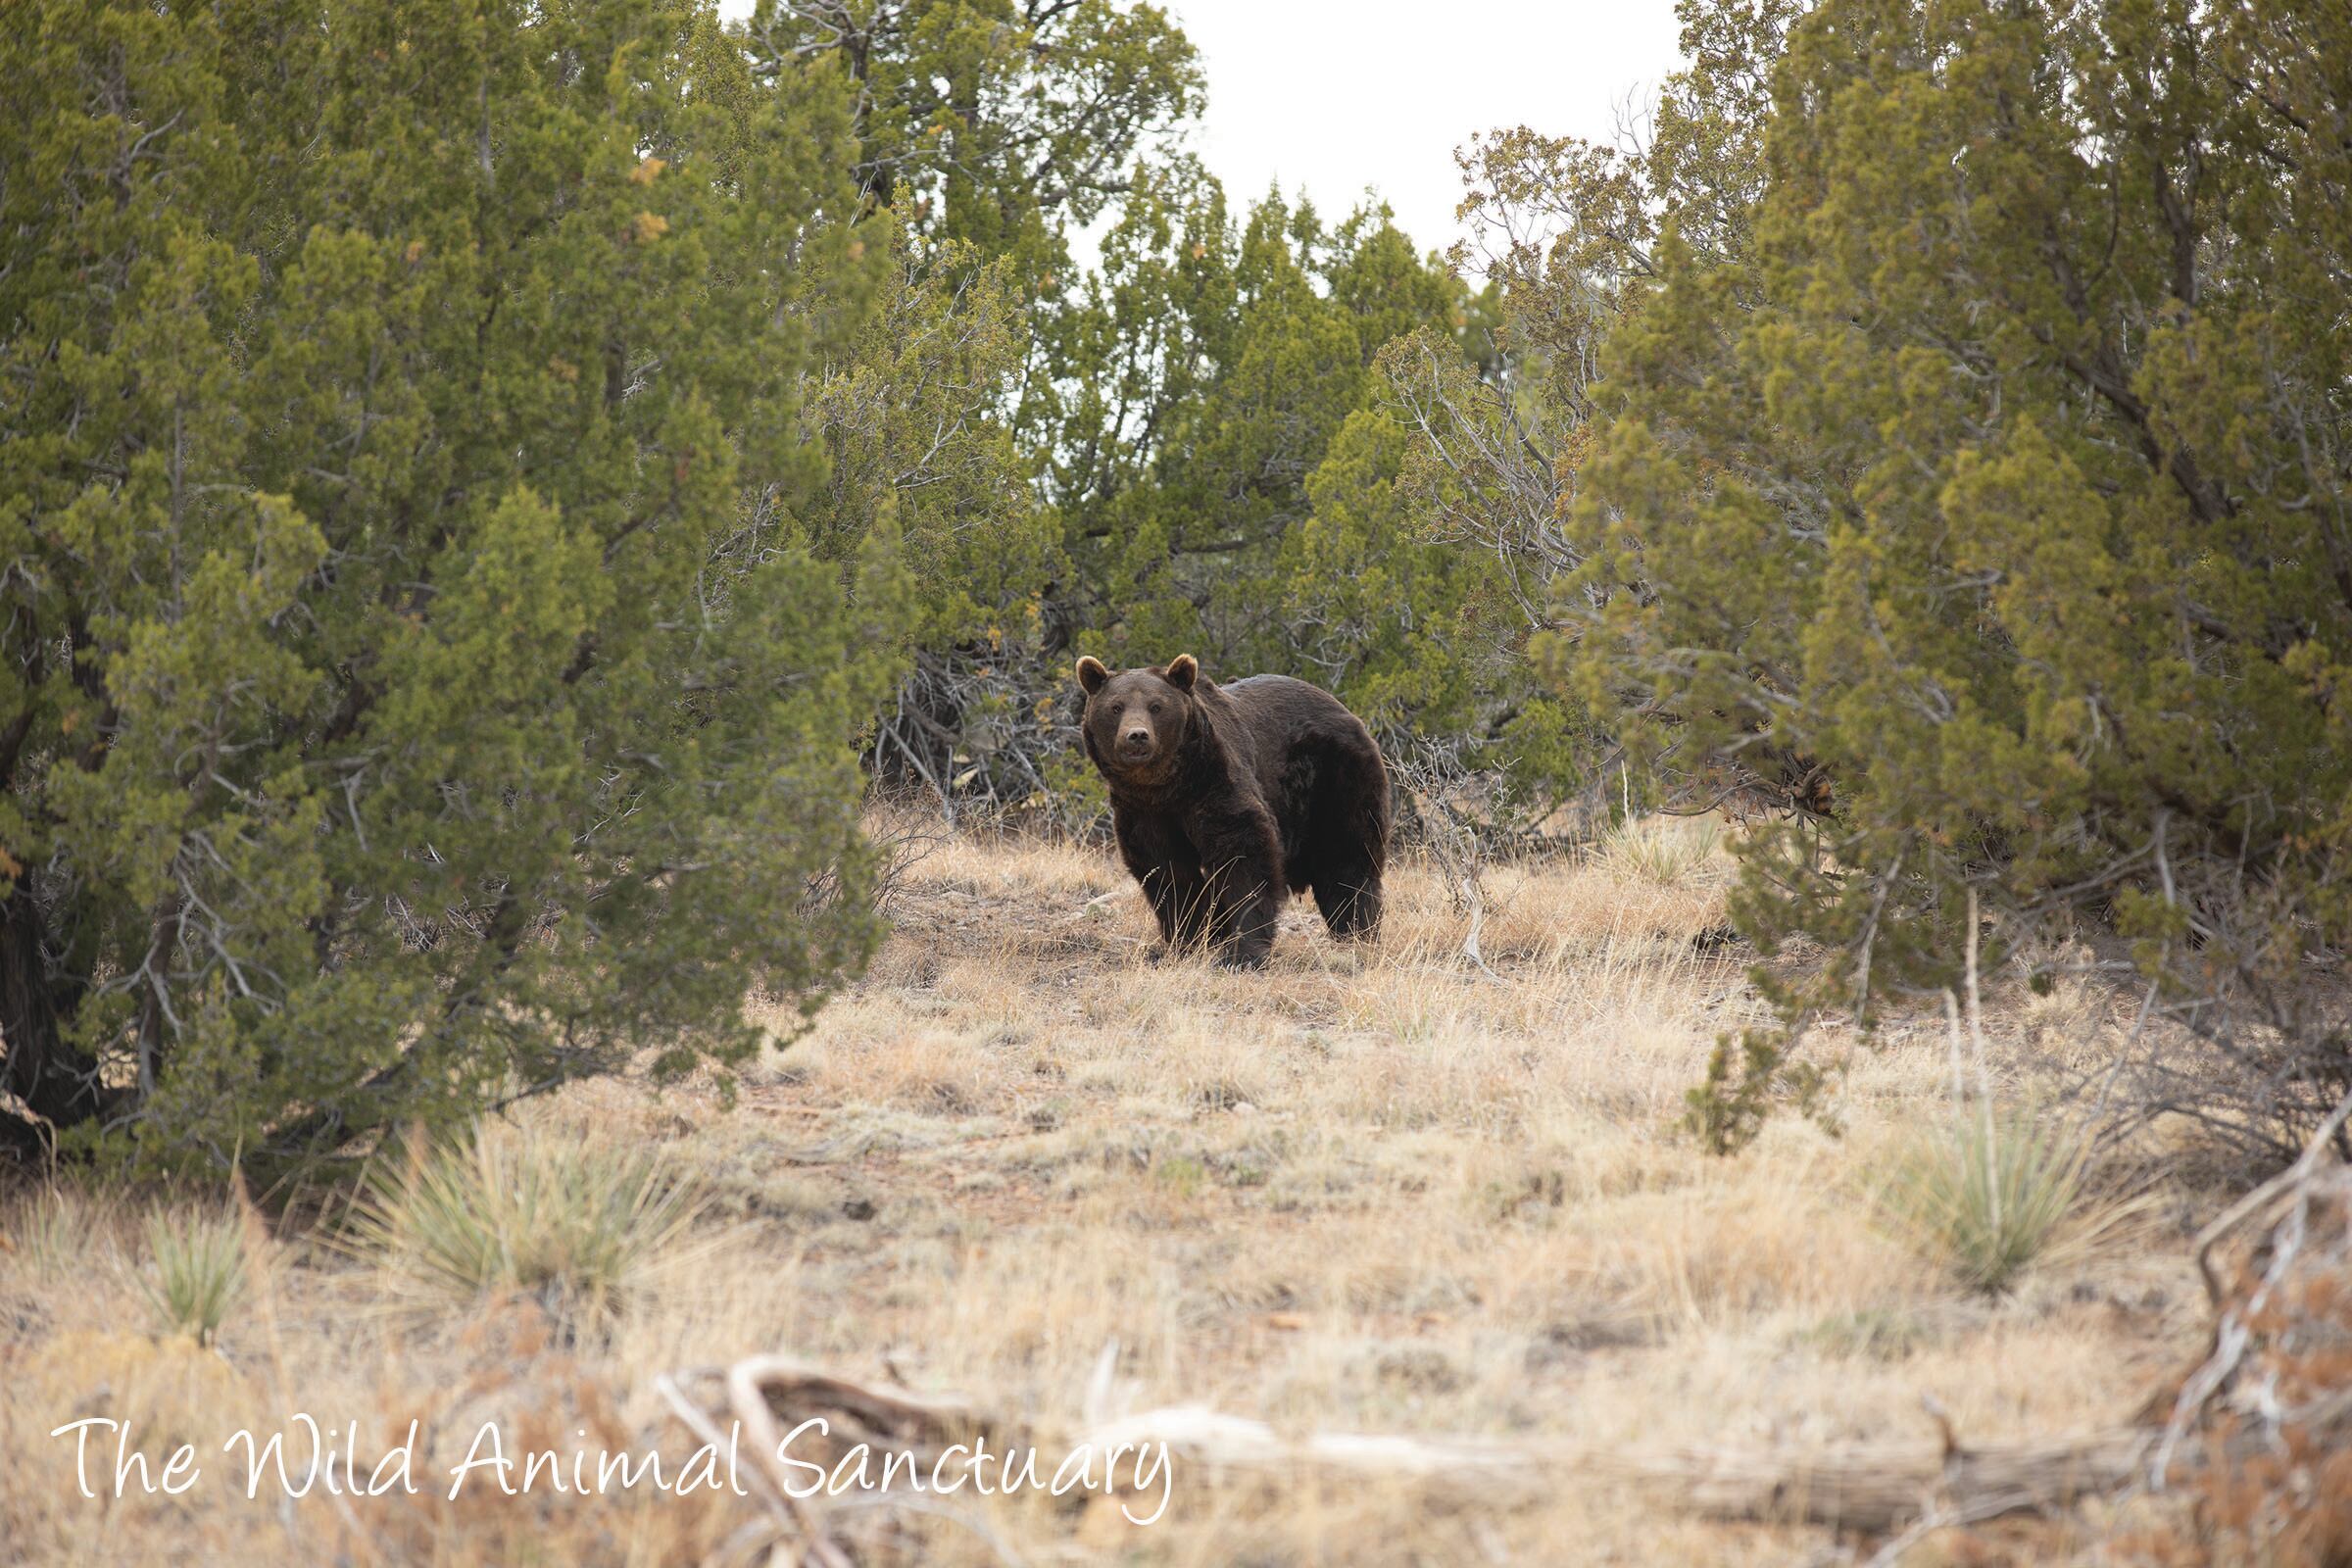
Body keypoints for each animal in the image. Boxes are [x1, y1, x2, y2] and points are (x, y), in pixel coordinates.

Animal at [1077, 653, 1383, 968]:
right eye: (1116, 707)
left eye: (1156, 706)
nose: (1137, 736)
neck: (1167, 786)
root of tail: (1342, 708)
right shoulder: (1144, 812)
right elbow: (1168, 873)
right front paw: (1184, 942)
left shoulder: (1214, 784)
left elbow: (1243, 857)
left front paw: (1243, 954)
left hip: (1334, 777)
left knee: (1345, 856)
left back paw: (1355, 930)